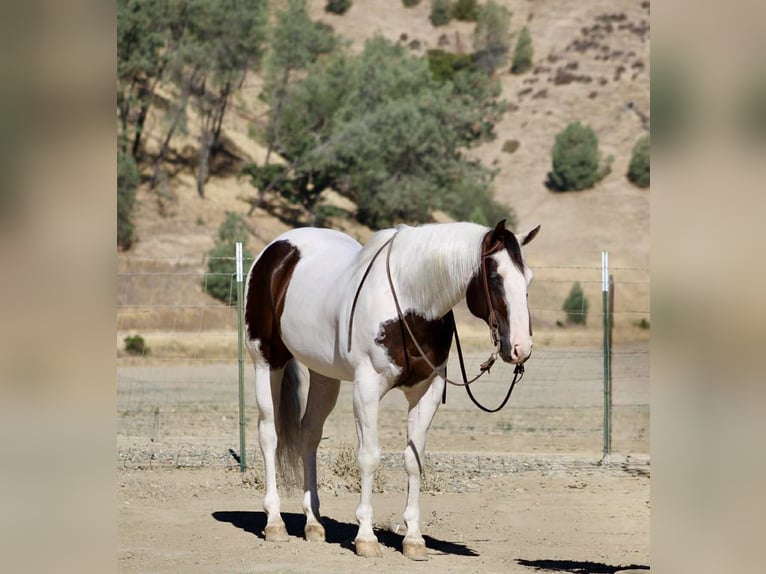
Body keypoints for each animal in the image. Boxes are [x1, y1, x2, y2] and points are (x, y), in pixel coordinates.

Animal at [243, 219, 540, 560]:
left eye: (528, 278)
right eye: (494, 277)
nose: (520, 348)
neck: (409, 304)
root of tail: (276, 249)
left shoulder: (427, 391)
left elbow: (414, 460)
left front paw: (413, 539)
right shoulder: (367, 388)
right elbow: (369, 456)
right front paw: (366, 537)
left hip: (324, 376)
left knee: (309, 435)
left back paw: (314, 523)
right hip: (267, 361)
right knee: (270, 434)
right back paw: (275, 522)